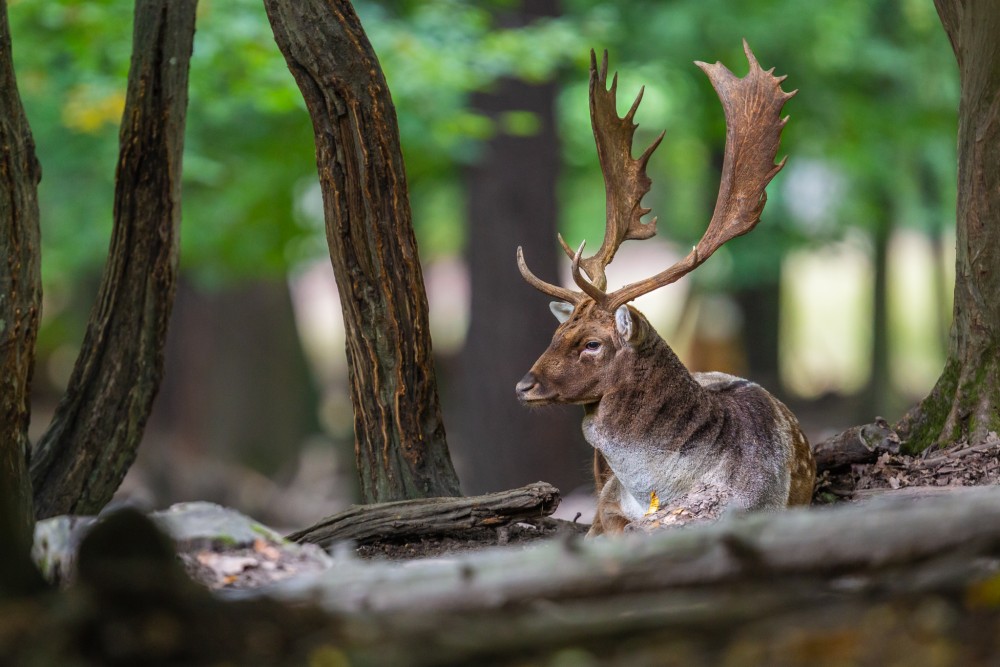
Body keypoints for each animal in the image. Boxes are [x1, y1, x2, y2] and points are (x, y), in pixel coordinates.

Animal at [516, 44, 812, 536]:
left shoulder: (747, 505)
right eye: (556, 334)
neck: (658, 492)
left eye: (592, 343)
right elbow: (611, 523)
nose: (524, 385)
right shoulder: (608, 502)